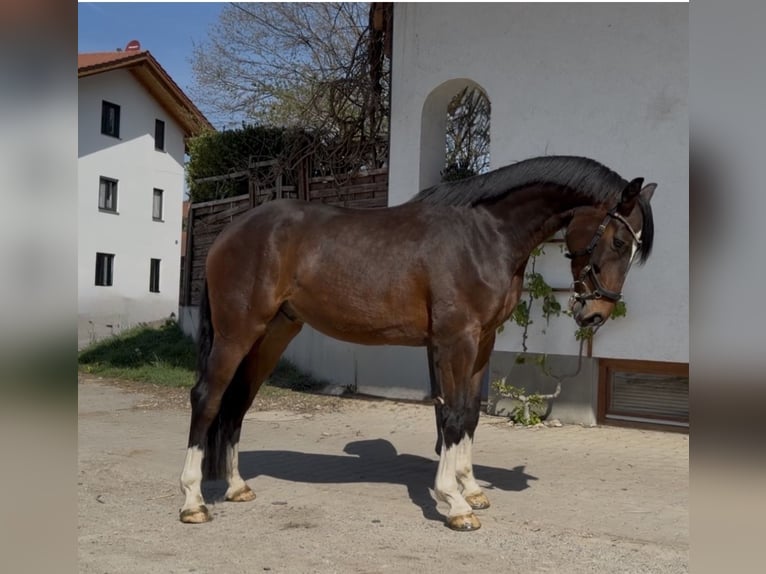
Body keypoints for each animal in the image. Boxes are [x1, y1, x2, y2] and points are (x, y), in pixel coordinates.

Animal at [179, 155, 656, 531]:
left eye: (634, 248)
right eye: (617, 240)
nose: (595, 314)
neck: (484, 236)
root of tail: (230, 231)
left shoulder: (481, 342)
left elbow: (468, 414)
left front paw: (471, 488)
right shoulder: (456, 340)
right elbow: (452, 416)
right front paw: (455, 503)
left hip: (273, 334)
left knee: (237, 402)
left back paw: (237, 487)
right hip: (238, 332)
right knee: (207, 397)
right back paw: (193, 501)